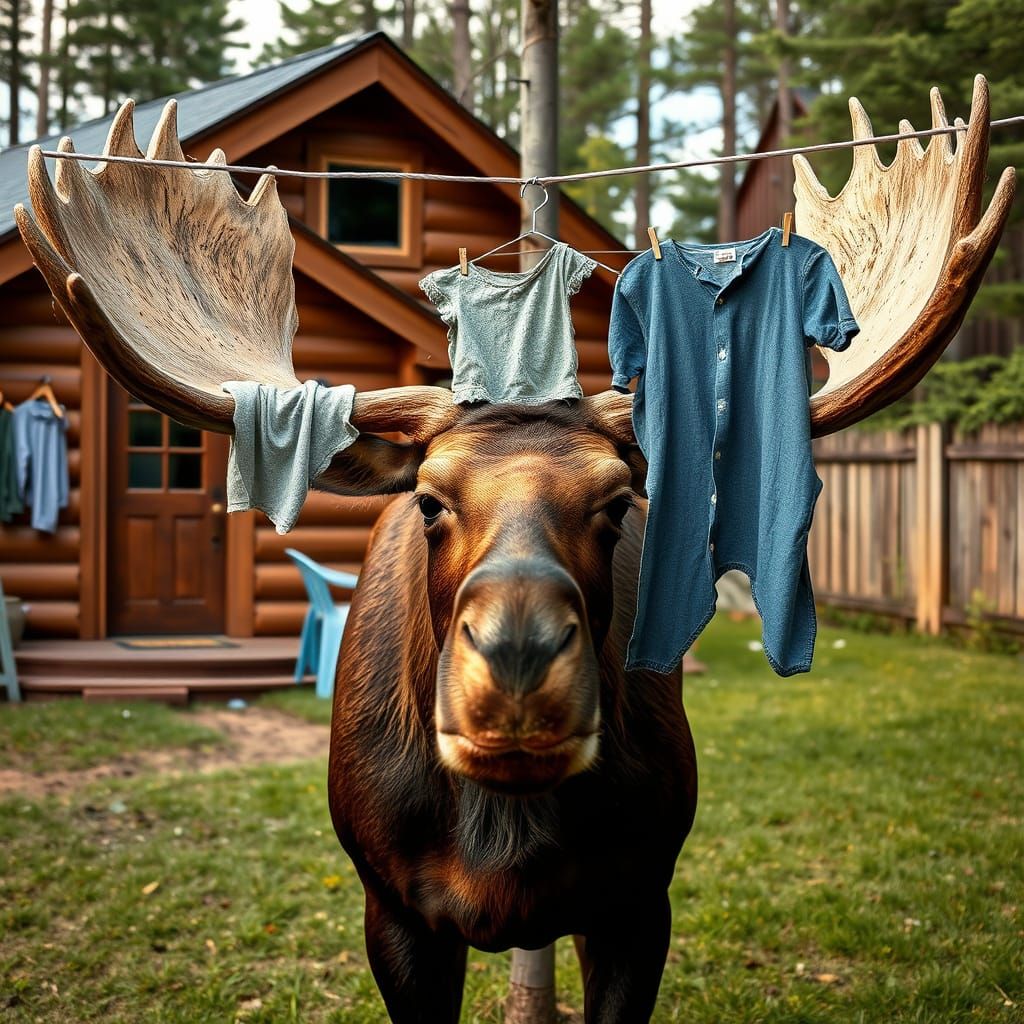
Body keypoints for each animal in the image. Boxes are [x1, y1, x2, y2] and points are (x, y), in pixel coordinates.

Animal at [15, 75, 1013, 1023]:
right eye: (428, 500)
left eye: (616, 503)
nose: (520, 659)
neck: (502, 831)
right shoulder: (390, 908)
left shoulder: (641, 900)